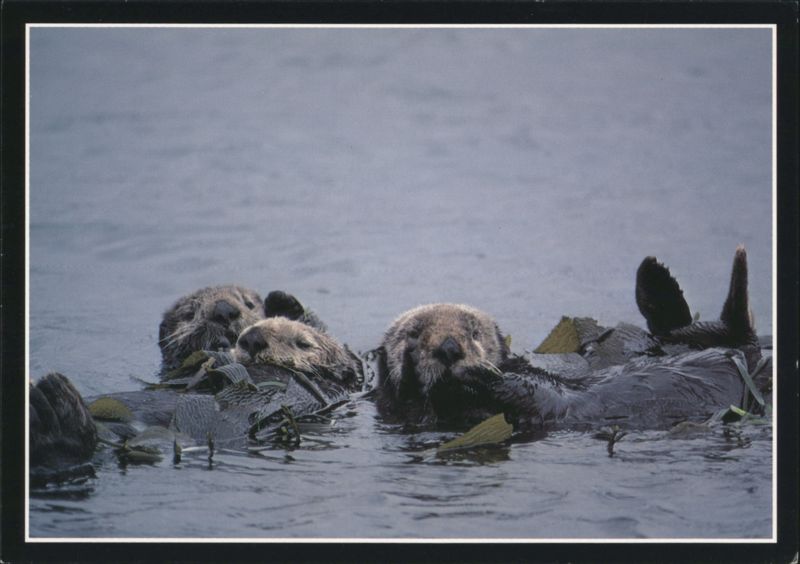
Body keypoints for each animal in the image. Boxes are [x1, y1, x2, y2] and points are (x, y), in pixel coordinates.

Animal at [374, 247, 770, 430]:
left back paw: (657, 277)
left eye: (474, 332)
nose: (449, 347)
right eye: (413, 333)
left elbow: (530, 386)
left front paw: (476, 372)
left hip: (676, 340)